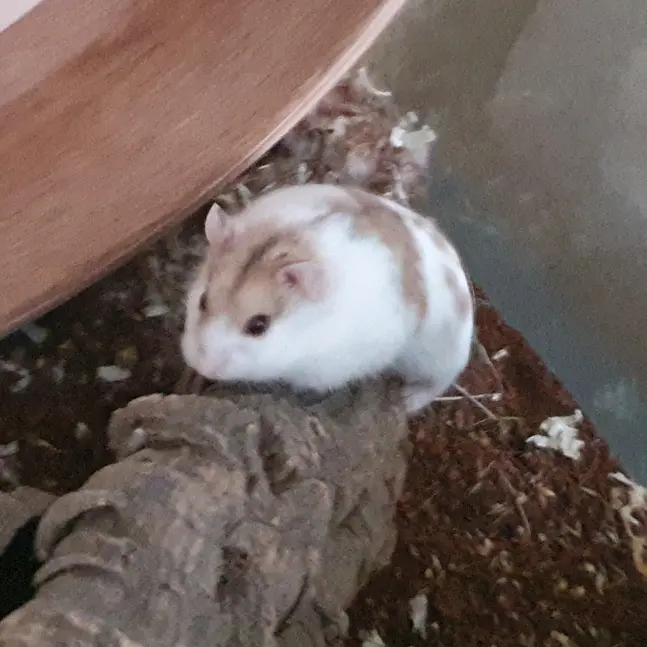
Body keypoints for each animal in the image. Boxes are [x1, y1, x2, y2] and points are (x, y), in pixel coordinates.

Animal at [181, 183, 474, 414]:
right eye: (203, 300)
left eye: (258, 326)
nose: (203, 367)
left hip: (438, 355)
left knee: (437, 383)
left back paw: (406, 401)